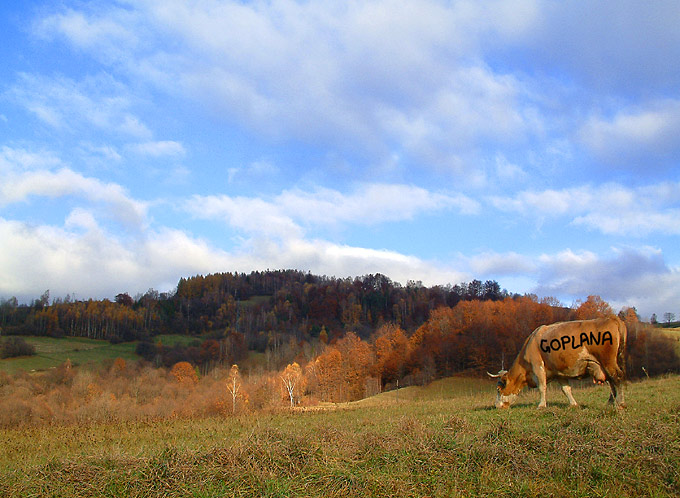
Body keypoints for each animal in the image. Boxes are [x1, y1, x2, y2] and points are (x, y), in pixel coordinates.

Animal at [488, 316, 628, 408]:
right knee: (612, 381)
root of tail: (613, 318)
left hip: (608, 361)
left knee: (617, 377)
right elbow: (566, 389)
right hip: (607, 363)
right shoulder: (559, 373)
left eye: (499, 389)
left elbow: (542, 387)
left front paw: (541, 405)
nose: (496, 405)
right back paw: (611, 402)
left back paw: (620, 404)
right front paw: (573, 404)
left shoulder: (537, 366)